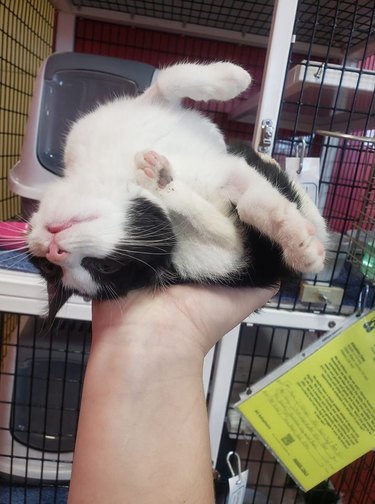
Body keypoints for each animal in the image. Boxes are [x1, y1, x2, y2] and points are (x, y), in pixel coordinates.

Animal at [27, 61, 328, 320]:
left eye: (104, 266)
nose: (54, 252)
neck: (114, 170)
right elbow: (238, 219)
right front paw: (302, 248)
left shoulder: (126, 114)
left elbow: (169, 80)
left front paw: (234, 78)